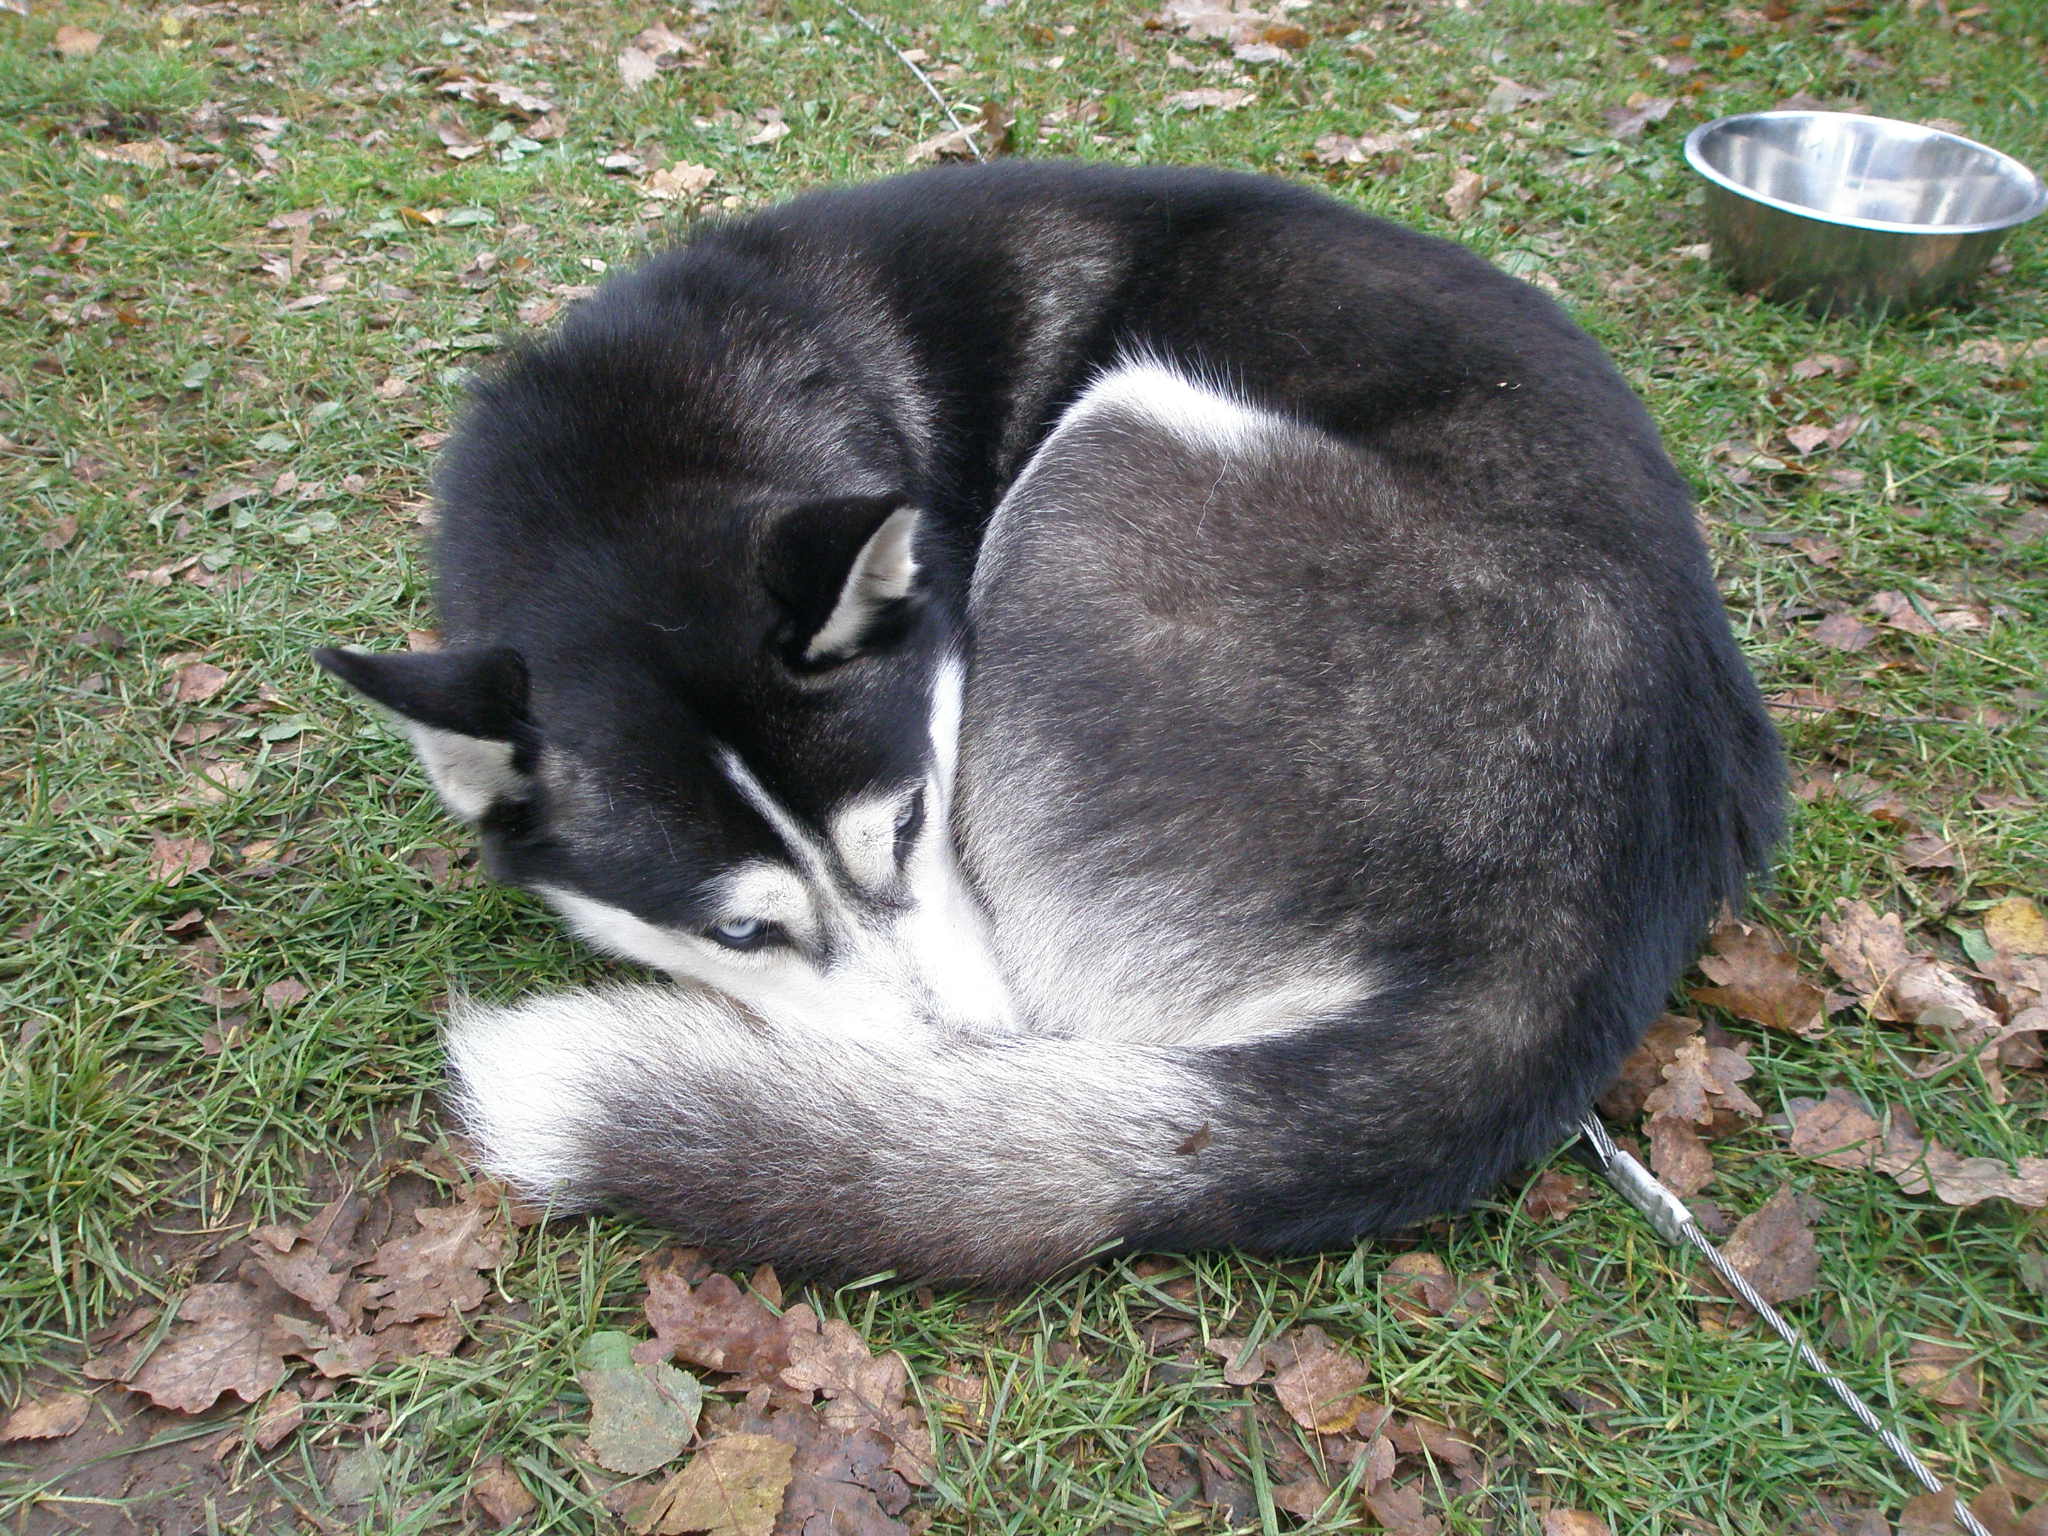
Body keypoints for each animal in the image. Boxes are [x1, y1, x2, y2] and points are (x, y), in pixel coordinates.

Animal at [317, 163, 1782, 1283]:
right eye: (740, 933)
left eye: (915, 818)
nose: (975, 1061)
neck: (622, 469)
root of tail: (1587, 914)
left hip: (1124, 429)